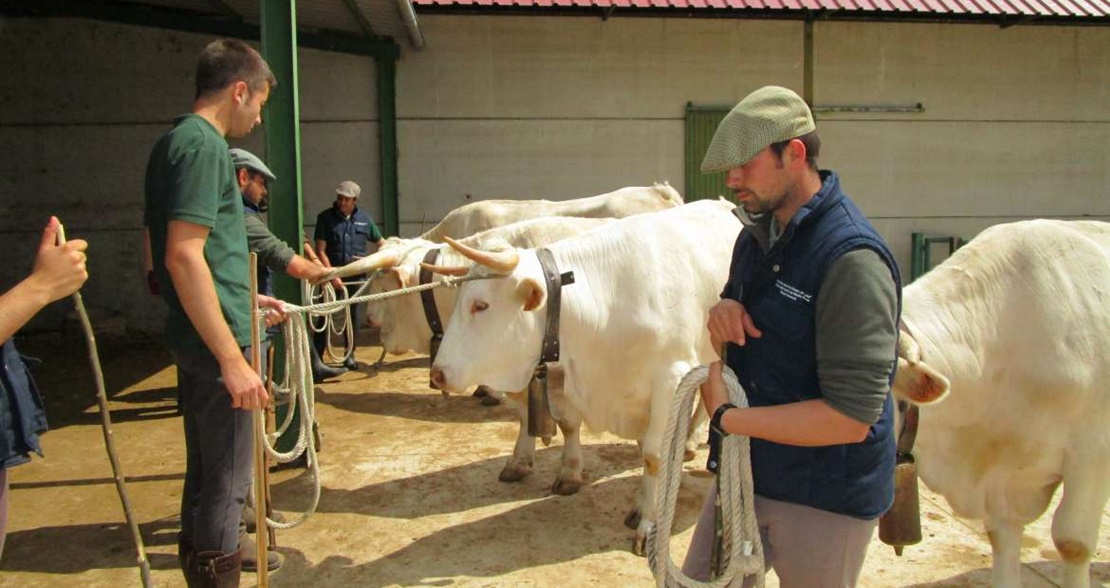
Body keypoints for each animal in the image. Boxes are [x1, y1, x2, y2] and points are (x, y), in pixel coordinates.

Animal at [428, 198, 741, 552]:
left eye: (480, 305)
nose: (437, 373)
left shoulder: (670, 378)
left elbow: (653, 454)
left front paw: (649, 522)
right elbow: (572, 426)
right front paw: (576, 477)